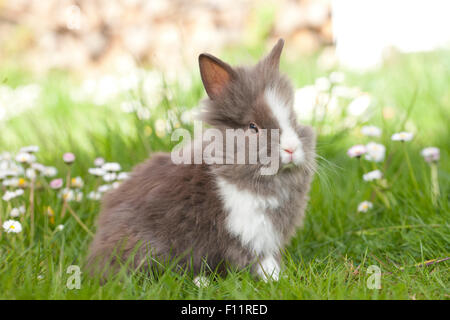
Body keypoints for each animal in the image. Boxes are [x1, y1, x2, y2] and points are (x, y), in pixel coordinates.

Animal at [87, 38, 316, 282]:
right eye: (253, 127)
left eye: (292, 119)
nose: (291, 149)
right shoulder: (248, 234)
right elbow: (260, 262)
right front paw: (276, 279)